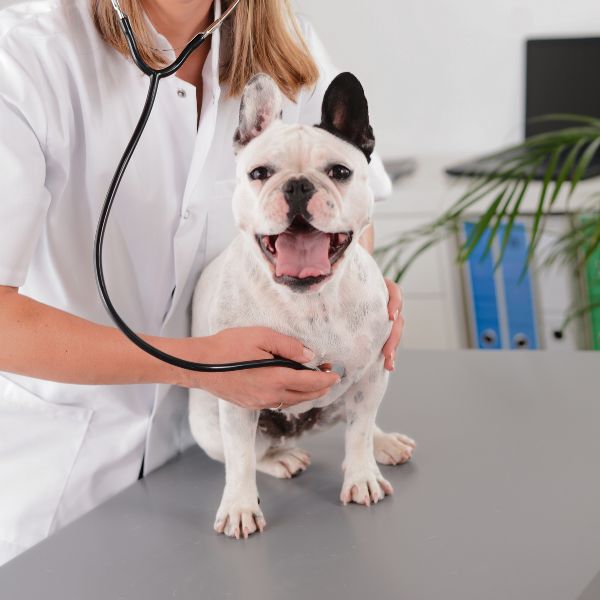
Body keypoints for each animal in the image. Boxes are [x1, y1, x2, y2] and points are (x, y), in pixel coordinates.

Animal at [190, 71, 414, 540]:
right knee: (253, 452)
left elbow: (359, 434)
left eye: (340, 172)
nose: (296, 184)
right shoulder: (237, 399)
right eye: (259, 173)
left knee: (359, 423)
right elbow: (240, 461)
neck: (311, 300)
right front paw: (239, 507)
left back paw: (384, 443)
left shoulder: (371, 376)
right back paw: (281, 458)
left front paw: (362, 476)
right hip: (209, 426)